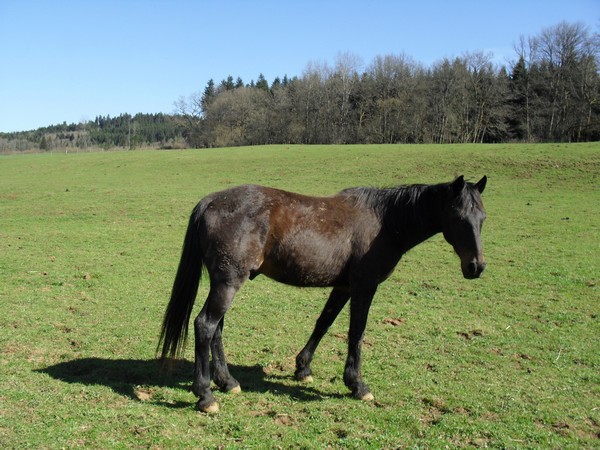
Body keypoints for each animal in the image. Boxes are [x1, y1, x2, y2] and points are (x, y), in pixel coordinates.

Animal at [157, 175, 486, 412]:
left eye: (482, 218)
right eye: (459, 217)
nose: (476, 266)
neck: (385, 222)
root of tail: (210, 201)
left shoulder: (344, 287)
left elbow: (324, 323)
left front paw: (303, 367)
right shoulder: (365, 286)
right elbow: (356, 333)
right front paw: (357, 385)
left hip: (225, 282)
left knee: (216, 330)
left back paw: (227, 381)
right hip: (228, 283)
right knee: (205, 325)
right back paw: (205, 395)